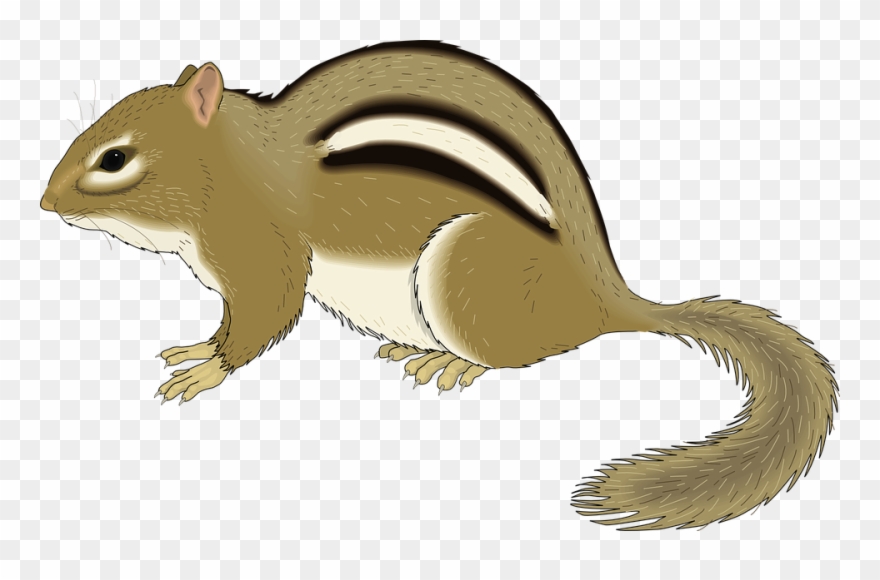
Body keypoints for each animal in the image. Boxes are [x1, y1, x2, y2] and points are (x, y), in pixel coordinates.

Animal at [41, 41, 838, 530]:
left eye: (114, 159)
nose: (44, 204)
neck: (233, 164)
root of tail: (602, 294)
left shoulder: (262, 252)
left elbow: (266, 314)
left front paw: (207, 365)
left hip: (466, 275)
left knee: (512, 357)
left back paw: (453, 363)